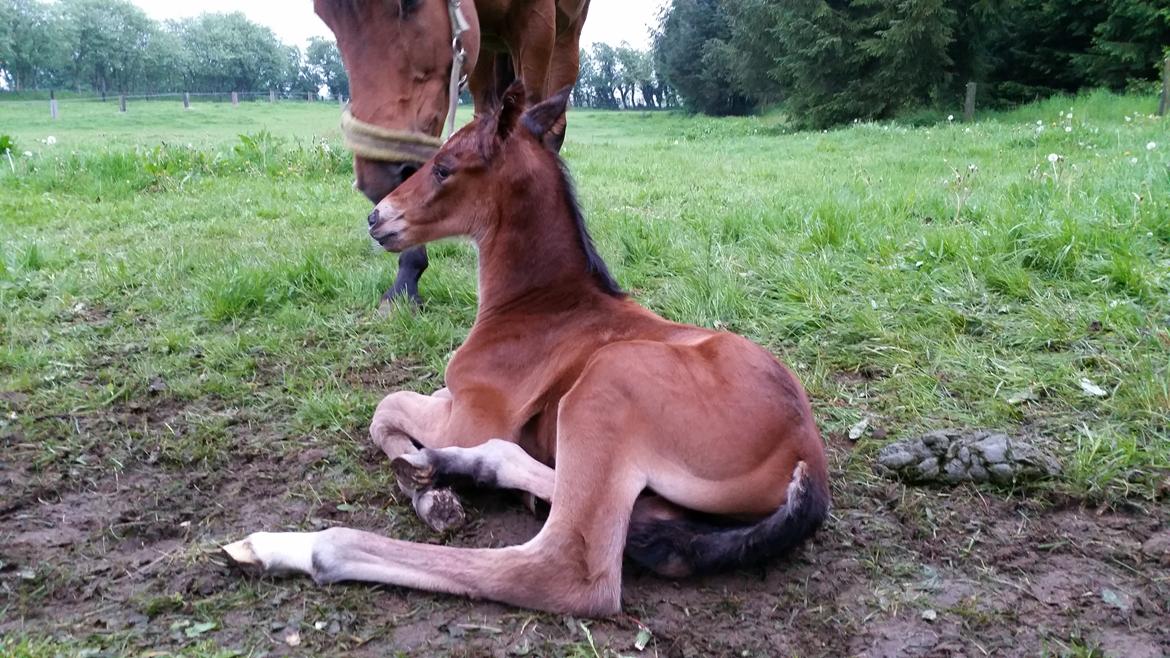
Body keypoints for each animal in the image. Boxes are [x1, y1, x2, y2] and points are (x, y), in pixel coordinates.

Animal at [223, 81, 828, 613]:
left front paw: (427, 491)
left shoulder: (470, 411)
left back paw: (288, 545)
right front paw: (431, 486)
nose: (377, 217)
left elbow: (385, 406)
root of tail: (810, 460)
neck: (537, 304)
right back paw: (455, 467)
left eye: (444, 167)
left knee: (561, 570)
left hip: (606, 383)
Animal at [315, 0, 589, 304]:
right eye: (323, 16)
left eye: (410, 3)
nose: (376, 178)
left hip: (566, 37)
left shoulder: (537, 24)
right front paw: (405, 284)